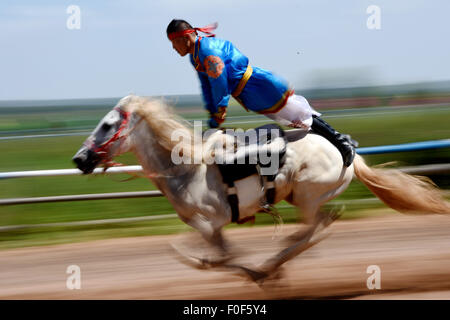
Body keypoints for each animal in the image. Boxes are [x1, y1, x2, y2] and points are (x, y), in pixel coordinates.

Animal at [72, 95, 448, 282]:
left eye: (107, 125)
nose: (80, 158)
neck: (186, 168)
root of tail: (349, 154)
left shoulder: (210, 223)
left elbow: (203, 255)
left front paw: (252, 272)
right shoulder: (209, 228)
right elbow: (208, 255)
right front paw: (245, 269)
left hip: (307, 195)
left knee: (314, 229)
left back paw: (270, 265)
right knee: (319, 227)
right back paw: (273, 263)